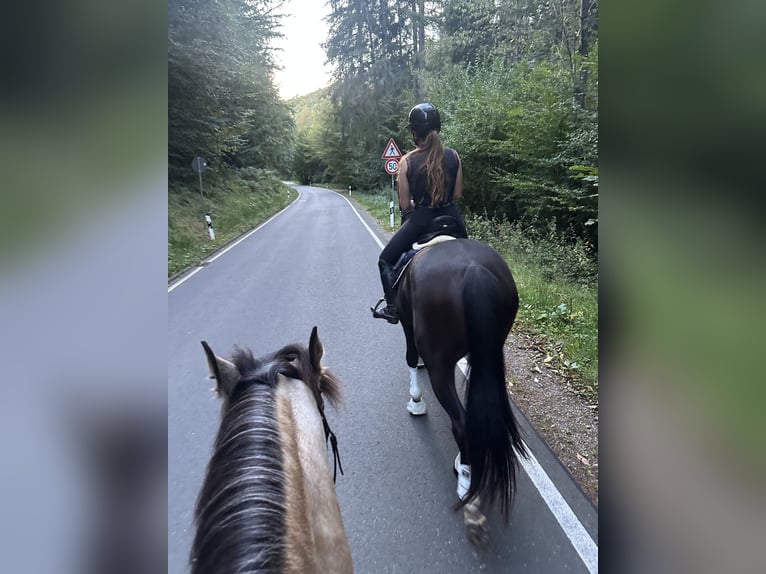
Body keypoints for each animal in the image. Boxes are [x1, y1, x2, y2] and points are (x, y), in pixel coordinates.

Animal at [395, 237, 528, 545]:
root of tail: (474, 272)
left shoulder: (407, 323)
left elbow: (410, 357)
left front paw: (415, 401)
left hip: (439, 363)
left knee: (461, 423)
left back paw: (470, 498)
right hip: (490, 352)